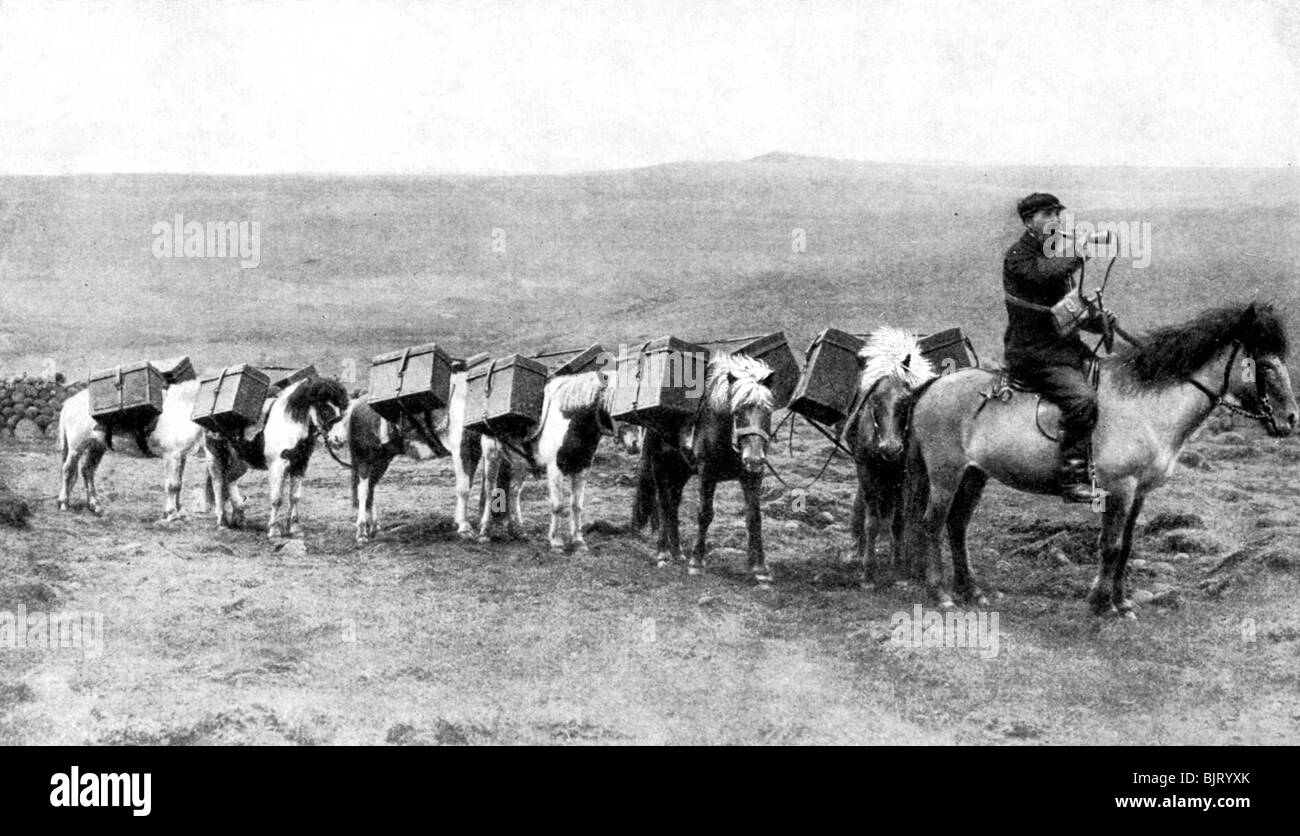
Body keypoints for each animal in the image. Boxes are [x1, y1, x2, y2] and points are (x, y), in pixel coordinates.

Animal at [204, 377, 348, 540]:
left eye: (341, 408)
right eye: (324, 407)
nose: (339, 439)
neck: (288, 425)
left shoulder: (300, 464)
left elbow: (295, 497)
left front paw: (294, 528)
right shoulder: (277, 466)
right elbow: (277, 499)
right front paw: (274, 531)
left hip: (240, 462)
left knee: (229, 480)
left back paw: (238, 517)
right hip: (214, 458)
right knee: (218, 484)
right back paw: (222, 522)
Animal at [322, 371, 509, 543]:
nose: (334, 438)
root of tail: (357, 405)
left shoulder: (484, 450)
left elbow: (488, 488)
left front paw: (484, 531)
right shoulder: (462, 449)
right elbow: (463, 489)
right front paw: (464, 527)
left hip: (382, 460)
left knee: (370, 489)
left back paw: (373, 527)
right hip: (365, 458)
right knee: (363, 491)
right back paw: (361, 532)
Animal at [634, 351, 774, 582]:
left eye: (768, 411)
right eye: (738, 410)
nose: (754, 458)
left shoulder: (751, 477)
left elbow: (754, 518)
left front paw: (761, 569)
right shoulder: (708, 474)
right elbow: (704, 514)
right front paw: (697, 562)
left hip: (681, 470)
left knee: (674, 504)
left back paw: (677, 552)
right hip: (660, 465)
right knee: (664, 504)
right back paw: (663, 553)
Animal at [842, 323, 935, 585]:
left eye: (905, 401)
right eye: (874, 400)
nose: (891, 448)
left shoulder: (903, 475)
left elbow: (899, 521)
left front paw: (899, 569)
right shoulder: (866, 469)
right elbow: (872, 521)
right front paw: (868, 572)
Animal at [899, 300, 1294, 613]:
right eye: (1265, 365)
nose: (1290, 419)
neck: (1147, 405)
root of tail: (933, 386)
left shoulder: (1139, 492)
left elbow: (1127, 546)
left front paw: (1122, 602)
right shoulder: (1119, 487)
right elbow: (1111, 546)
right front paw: (1102, 604)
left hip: (974, 474)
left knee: (957, 525)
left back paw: (972, 591)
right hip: (945, 473)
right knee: (932, 524)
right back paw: (941, 594)